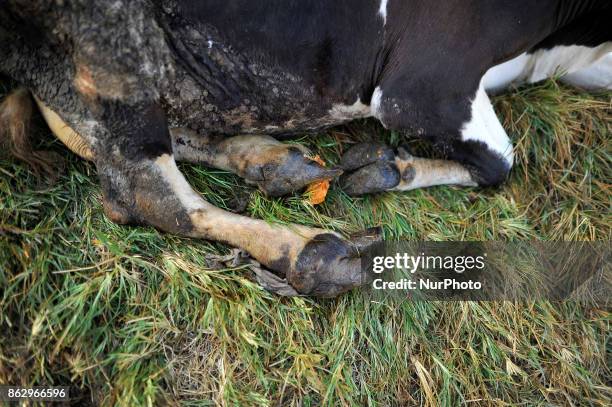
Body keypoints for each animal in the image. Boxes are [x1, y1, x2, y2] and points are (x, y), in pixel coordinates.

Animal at [0, 1, 608, 298]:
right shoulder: (417, 88)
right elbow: (500, 162)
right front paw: (389, 167)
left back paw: (273, 163)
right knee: (145, 193)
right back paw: (306, 251)